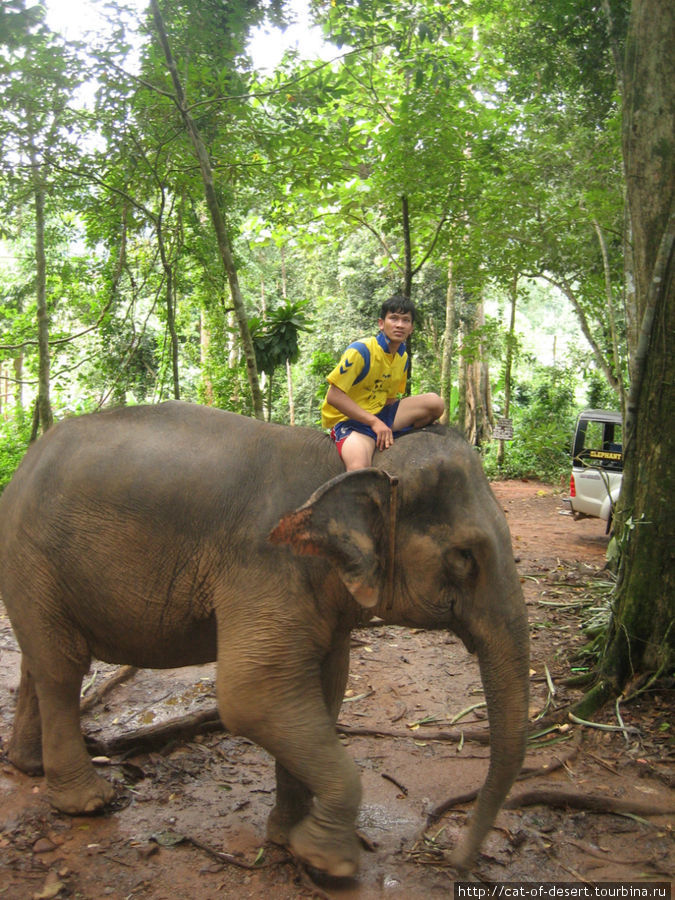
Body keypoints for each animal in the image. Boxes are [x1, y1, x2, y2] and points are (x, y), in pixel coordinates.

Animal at [0, 402, 528, 880]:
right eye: (463, 558)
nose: (455, 862)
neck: (344, 465)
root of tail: (23, 466)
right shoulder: (265, 562)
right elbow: (253, 695)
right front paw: (328, 861)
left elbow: (325, 689)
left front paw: (287, 838)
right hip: (32, 554)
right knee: (62, 668)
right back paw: (87, 802)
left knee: (38, 662)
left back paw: (28, 765)